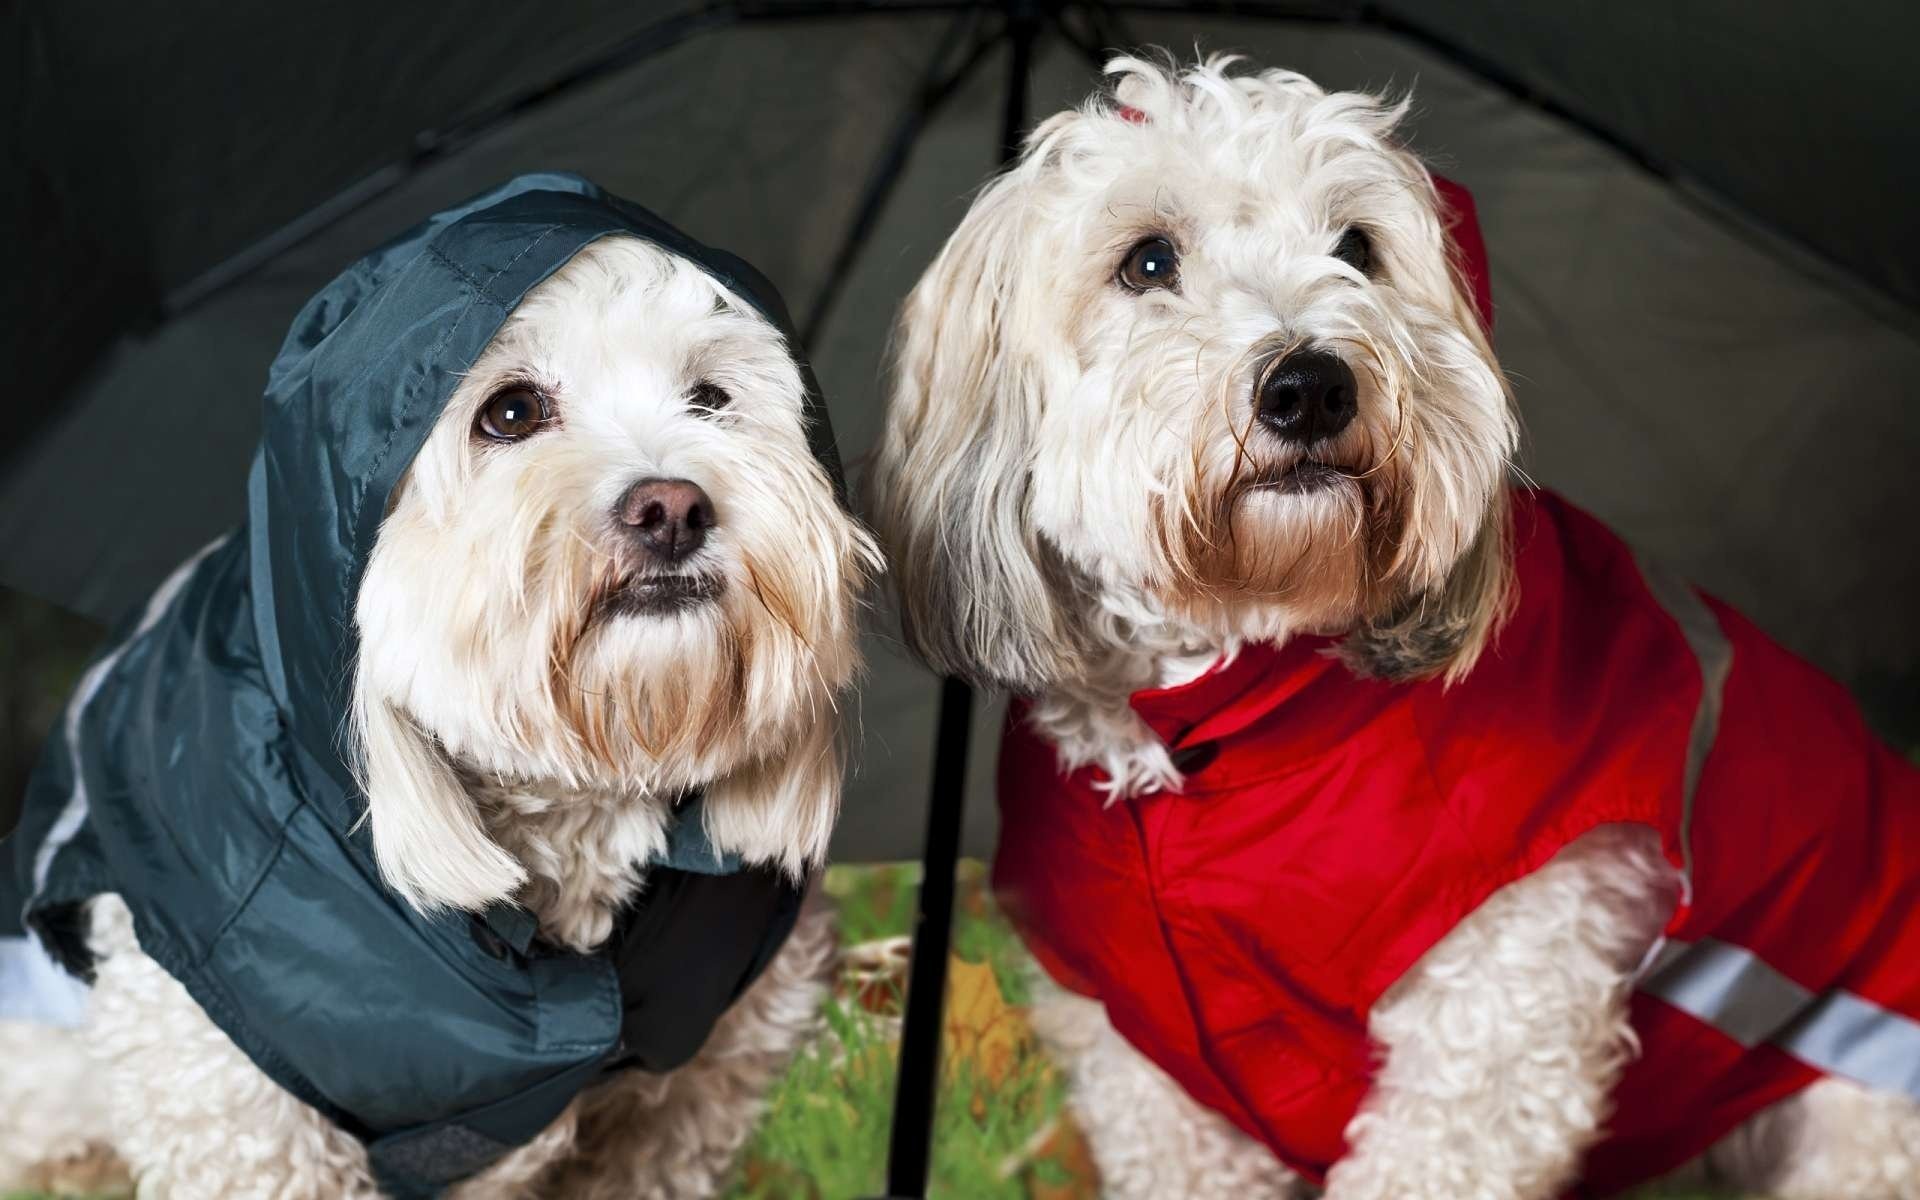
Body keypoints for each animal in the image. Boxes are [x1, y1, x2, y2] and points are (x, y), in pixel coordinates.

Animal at [871, 56, 1920, 1198]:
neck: (1223, 728)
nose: (1309, 385)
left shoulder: (1504, 1008)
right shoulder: (1147, 1066)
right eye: (1147, 261)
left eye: (1358, 249)